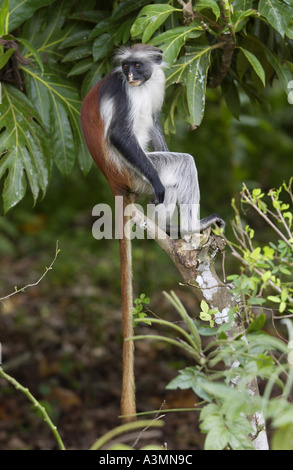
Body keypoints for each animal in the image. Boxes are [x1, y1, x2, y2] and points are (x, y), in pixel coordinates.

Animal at [80, 44, 224, 422]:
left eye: (138, 66)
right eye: (126, 67)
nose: (130, 75)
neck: (139, 86)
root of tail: (115, 182)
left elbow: (156, 122)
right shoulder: (121, 94)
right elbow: (120, 134)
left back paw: (174, 229)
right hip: (136, 171)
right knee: (181, 164)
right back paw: (188, 226)